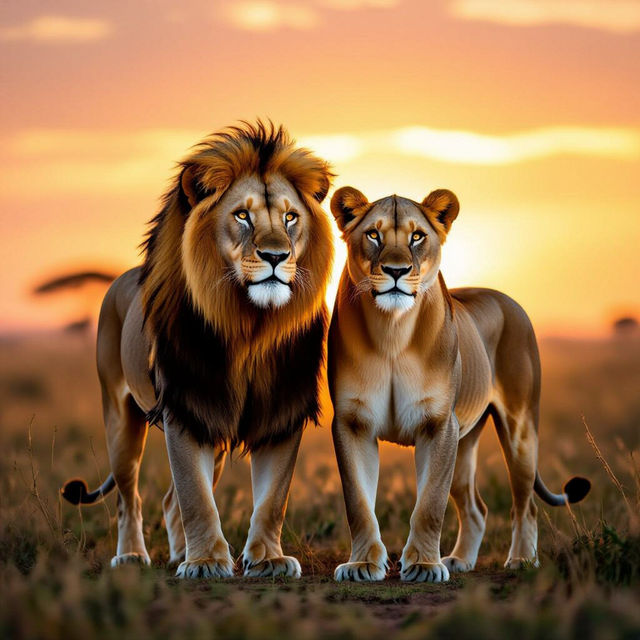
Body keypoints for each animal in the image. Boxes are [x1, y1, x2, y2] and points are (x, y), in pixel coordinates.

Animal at [61, 122, 334, 579]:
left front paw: (267, 559)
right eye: (242, 215)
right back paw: (132, 556)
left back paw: (176, 554)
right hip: (120, 417)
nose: (276, 256)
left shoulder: (281, 409)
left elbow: (273, 498)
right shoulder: (185, 406)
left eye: (290, 217)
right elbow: (196, 497)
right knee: (129, 497)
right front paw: (206, 562)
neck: (250, 328)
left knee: (168, 500)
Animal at [328, 186, 590, 583]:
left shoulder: (438, 425)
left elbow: (430, 503)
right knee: (476, 509)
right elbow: (358, 502)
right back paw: (460, 560)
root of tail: (508, 299)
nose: (396, 271)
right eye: (373, 235)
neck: (392, 332)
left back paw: (521, 560)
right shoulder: (352, 422)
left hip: (518, 430)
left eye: (417, 237)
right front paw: (363, 565)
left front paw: (423, 565)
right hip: (465, 442)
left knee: (525, 505)